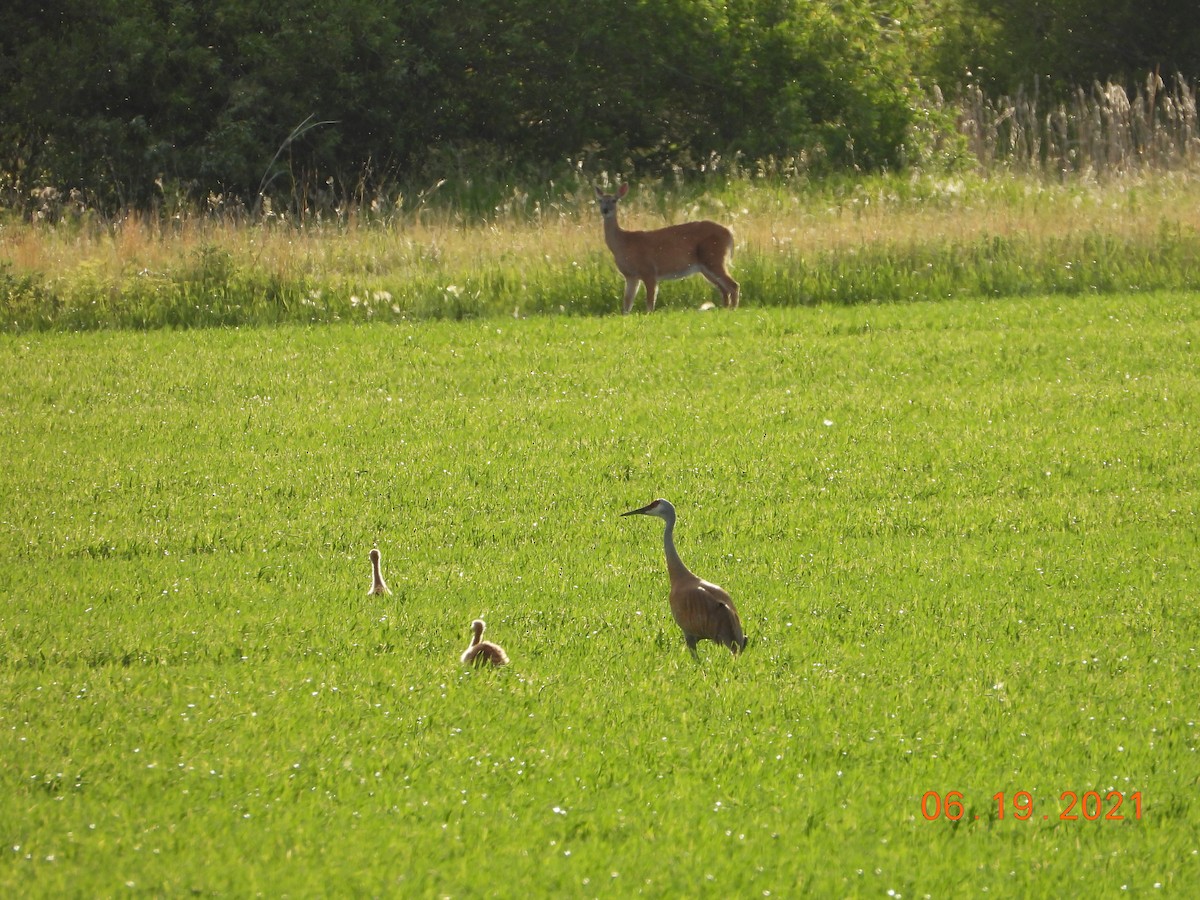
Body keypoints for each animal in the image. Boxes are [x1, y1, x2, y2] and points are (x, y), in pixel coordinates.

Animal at [592, 183, 734, 314]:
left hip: (714, 257)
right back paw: (725, 308)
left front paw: (648, 316)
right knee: (724, 288)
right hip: (706, 266)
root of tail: (729, 233)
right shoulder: (631, 276)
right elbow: (627, 303)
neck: (623, 243)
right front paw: (625, 317)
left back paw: (733, 309)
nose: (605, 210)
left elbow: (650, 302)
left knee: (733, 285)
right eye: (600, 200)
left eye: (614, 200)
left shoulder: (649, 270)